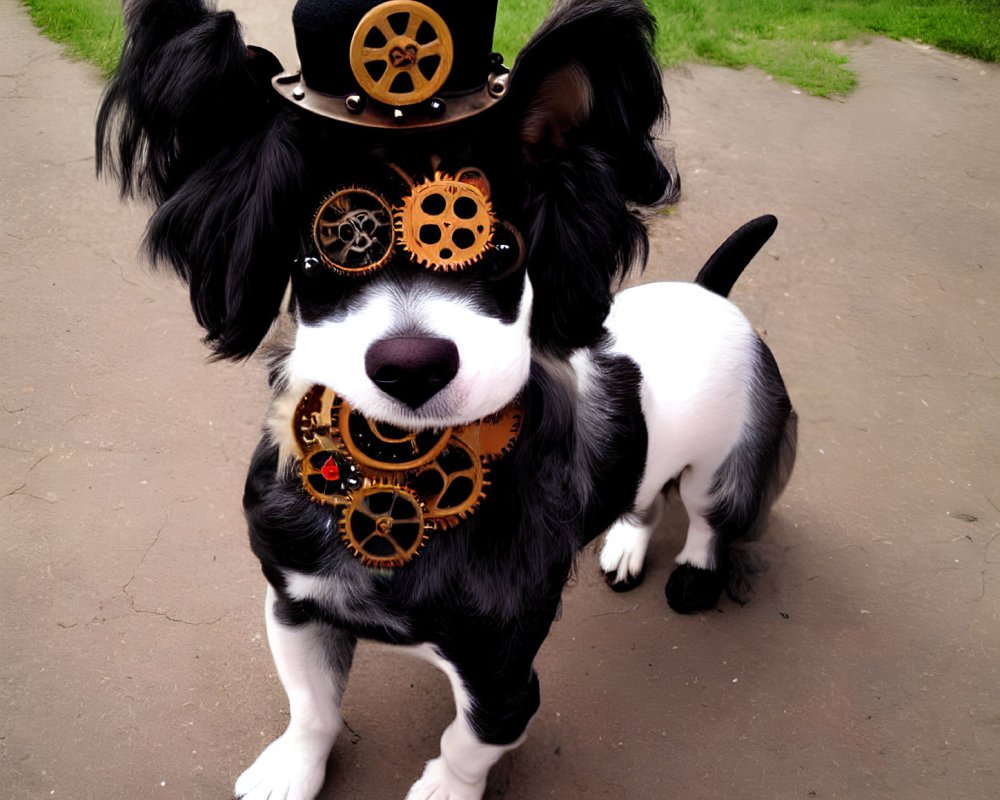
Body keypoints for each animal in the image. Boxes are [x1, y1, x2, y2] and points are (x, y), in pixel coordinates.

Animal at [95, 1, 796, 800]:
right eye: (314, 259)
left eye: (503, 252)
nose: (411, 366)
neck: (396, 481)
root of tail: (712, 293)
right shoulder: (295, 599)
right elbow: (311, 706)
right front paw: (293, 767)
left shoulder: (502, 669)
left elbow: (471, 739)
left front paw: (446, 788)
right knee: (644, 494)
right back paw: (625, 542)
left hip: (730, 459)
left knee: (711, 517)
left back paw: (695, 572)